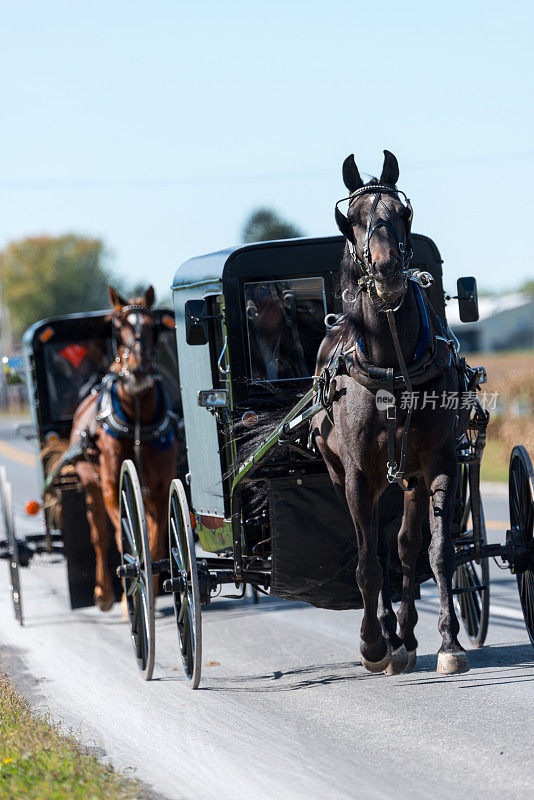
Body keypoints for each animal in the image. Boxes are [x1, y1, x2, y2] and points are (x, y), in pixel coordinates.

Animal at [45, 290, 182, 612]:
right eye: (118, 328)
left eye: (152, 326)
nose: (137, 371)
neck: (137, 421)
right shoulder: (110, 487)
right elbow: (122, 537)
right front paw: (127, 595)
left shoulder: (159, 489)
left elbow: (155, 542)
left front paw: (151, 592)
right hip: (91, 487)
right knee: (100, 535)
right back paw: (105, 594)